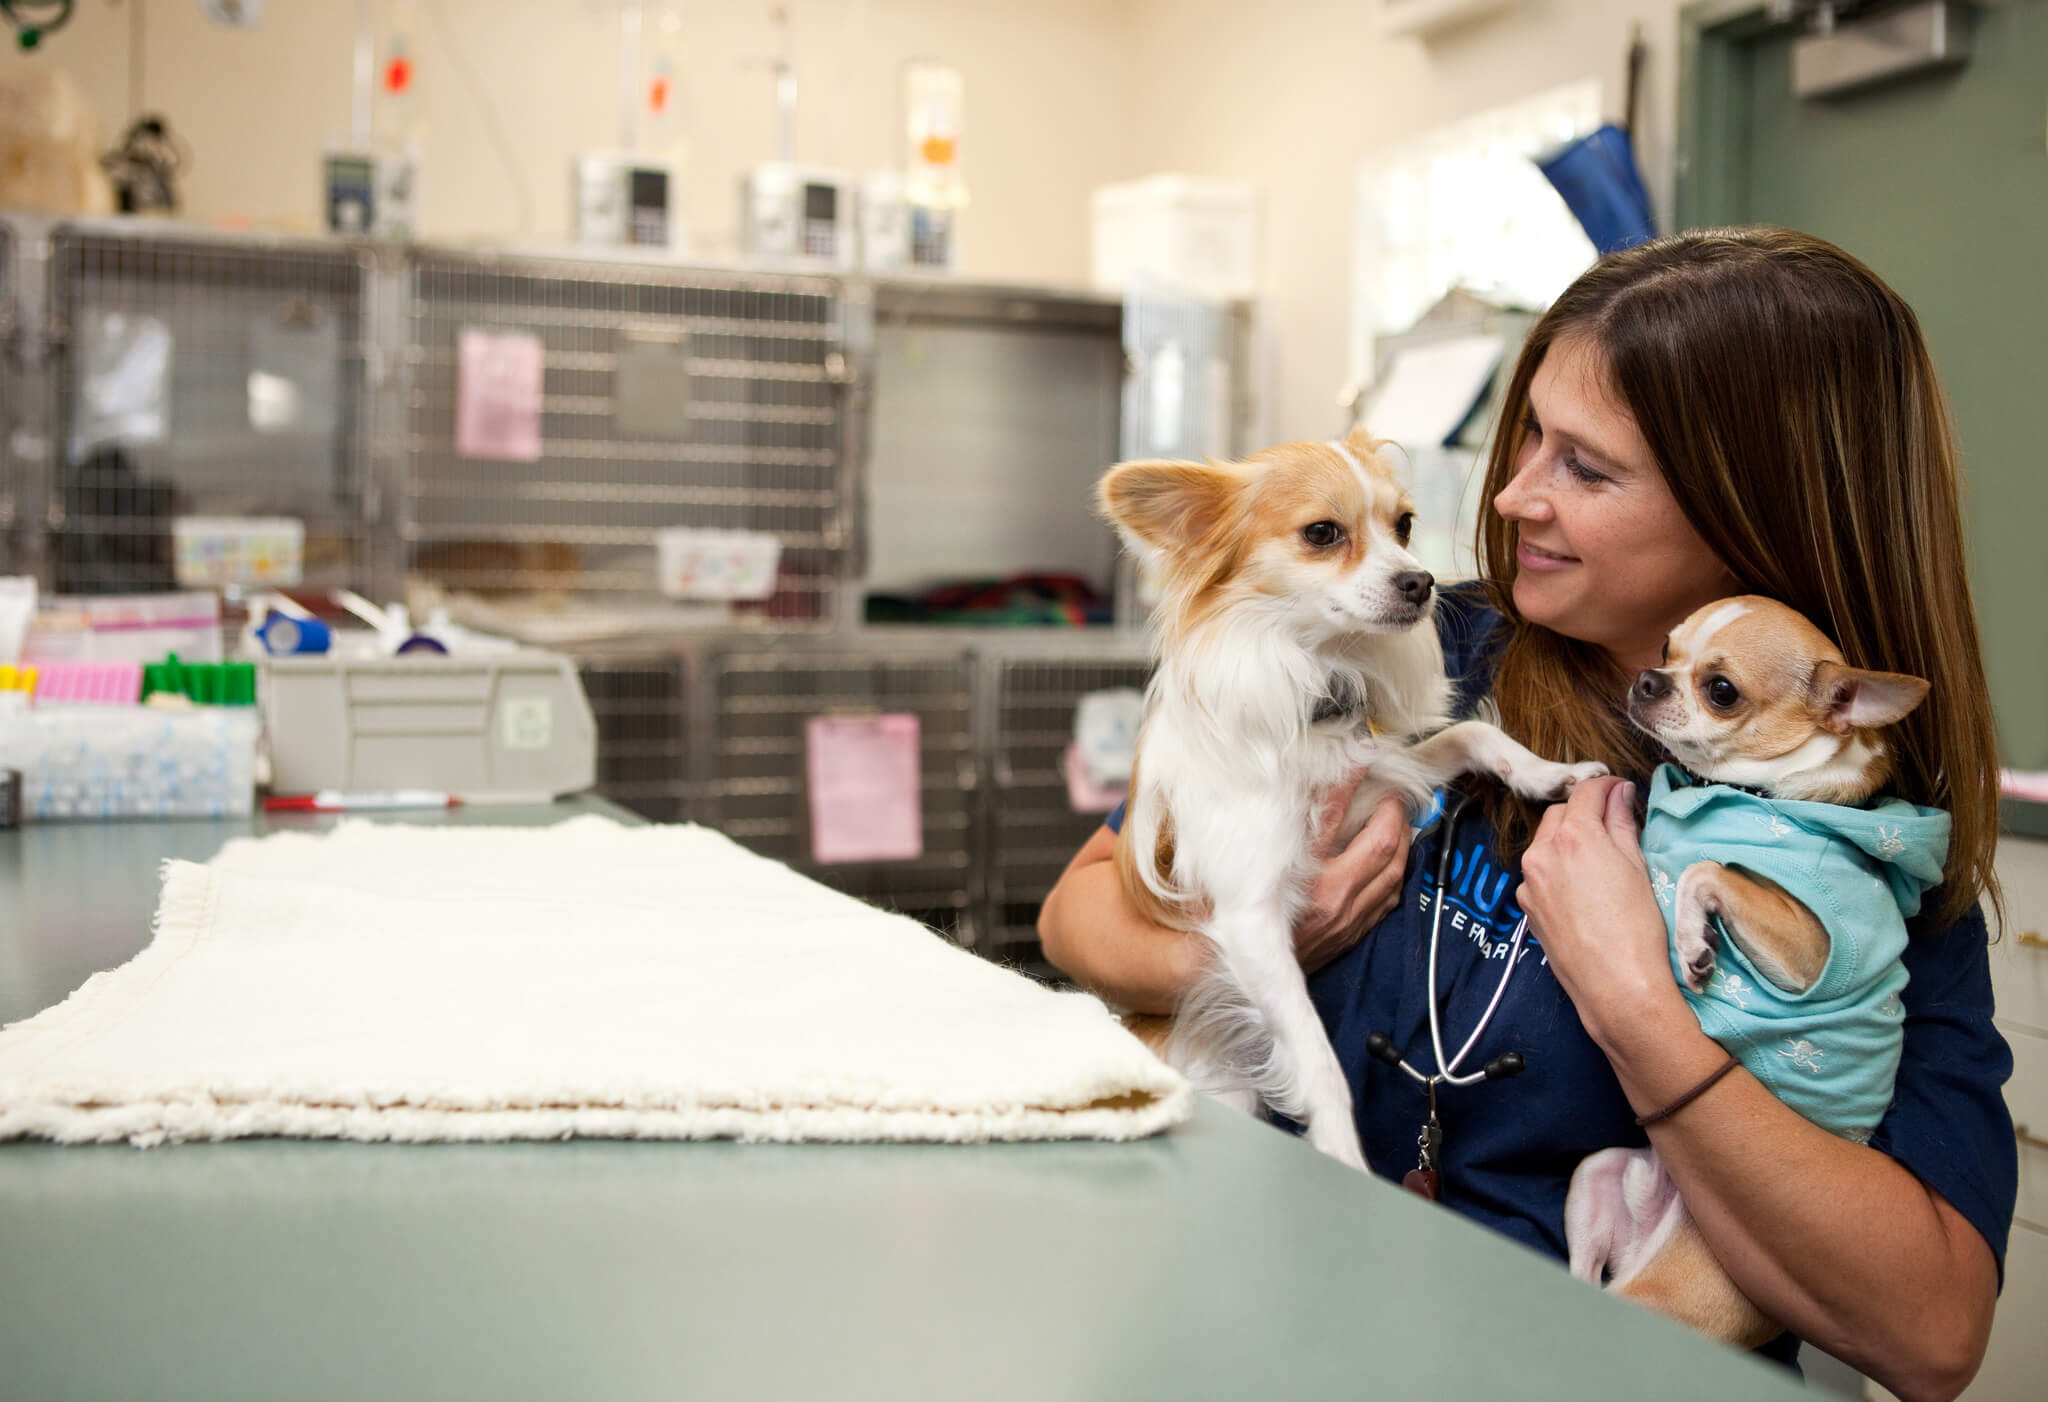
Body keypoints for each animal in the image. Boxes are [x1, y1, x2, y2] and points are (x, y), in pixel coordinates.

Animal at [1105, 429, 1597, 1170]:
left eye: (1405, 526)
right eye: (1322, 533)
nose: (1420, 581)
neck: (1321, 675)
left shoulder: (1375, 781)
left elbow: (1472, 732)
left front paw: (1546, 774)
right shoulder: (1251, 921)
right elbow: (1315, 1052)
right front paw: (1339, 1145)